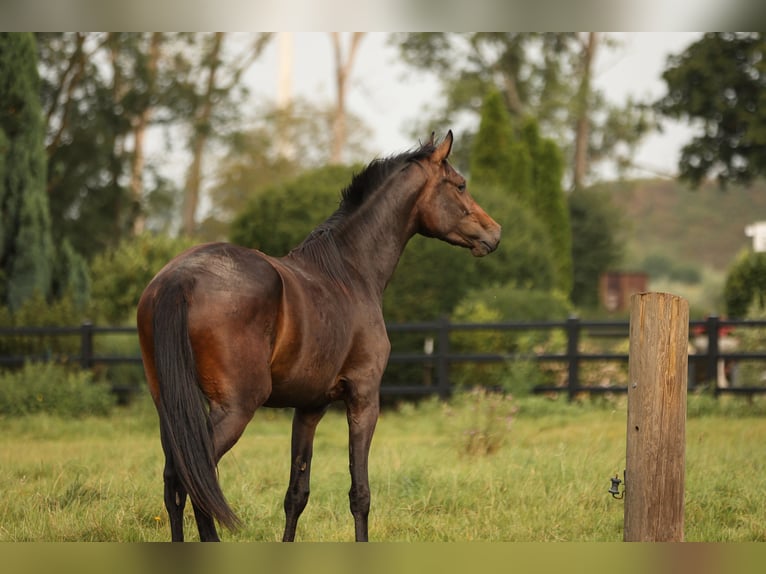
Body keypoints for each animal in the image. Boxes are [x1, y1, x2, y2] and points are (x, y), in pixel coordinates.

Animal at [138, 132, 504, 544]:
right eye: (460, 185)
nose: (495, 232)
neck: (348, 272)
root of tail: (179, 278)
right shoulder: (363, 398)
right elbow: (360, 493)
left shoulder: (309, 407)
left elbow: (296, 493)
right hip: (234, 408)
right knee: (196, 480)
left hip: (170, 408)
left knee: (174, 481)